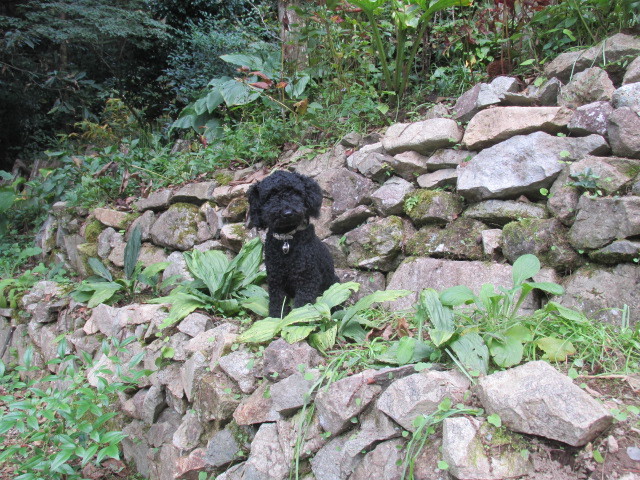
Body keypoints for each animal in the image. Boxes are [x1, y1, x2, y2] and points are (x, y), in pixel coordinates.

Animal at [248, 171, 340, 316]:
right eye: (271, 195)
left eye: (296, 192)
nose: (288, 213)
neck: (287, 240)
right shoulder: (276, 280)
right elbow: (277, 303)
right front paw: (275, 318)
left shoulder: (307, 279)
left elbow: (302, 305)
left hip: (333, 283)